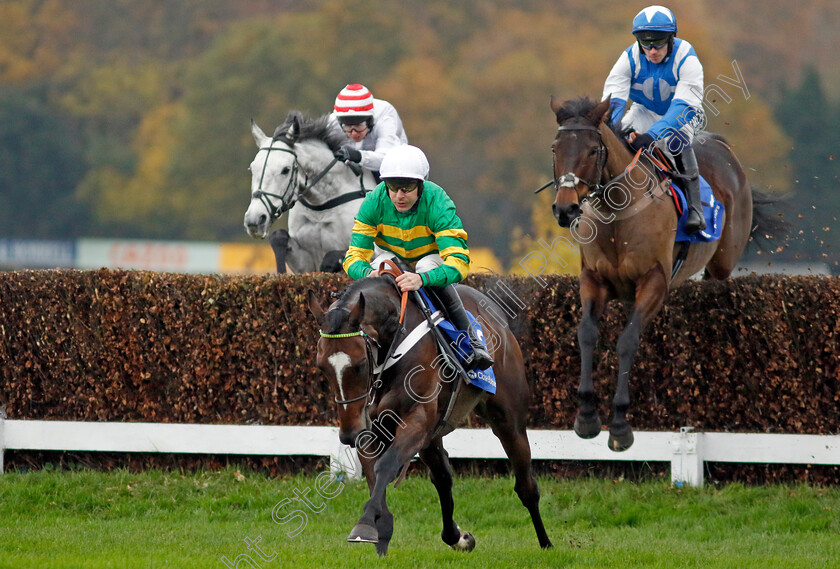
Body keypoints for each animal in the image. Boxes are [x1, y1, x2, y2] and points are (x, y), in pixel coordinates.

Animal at [241, 112, 376, 272]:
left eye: (285, 170)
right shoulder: (305, 263)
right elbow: (278, 237)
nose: (254, 221)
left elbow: (332, 258)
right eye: (252, 168)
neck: (322, 206)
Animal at [306, 276, 552, 556]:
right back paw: (456, 537)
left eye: (359, 365)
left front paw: (366, 525)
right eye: (321, 366)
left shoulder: (416, 420)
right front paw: (382, 528)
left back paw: (546, 542)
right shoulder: (372, 428)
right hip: (432, 434)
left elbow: (385, 465)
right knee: (443, 477)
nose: (348, 434)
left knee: (526, 485)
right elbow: (374, 474)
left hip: (508, 420)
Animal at [548, 95, 772, 452]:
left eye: (593, 151)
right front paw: (586, 416)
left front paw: (620, 425)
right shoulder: (594, 280)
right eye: (556, 148)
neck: (618, 214)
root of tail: (722, 147)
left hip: (722, 264)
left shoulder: (654, 282)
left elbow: (627, 341)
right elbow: (586, 334)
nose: (566, 208)